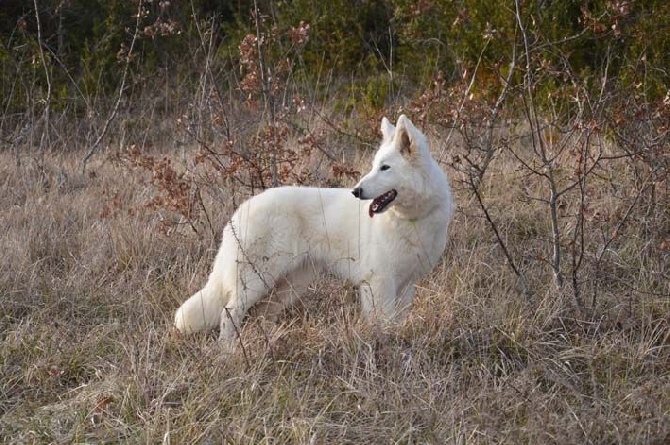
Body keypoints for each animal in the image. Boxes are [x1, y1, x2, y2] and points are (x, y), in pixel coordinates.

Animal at [175, 114, 456, 344]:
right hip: (256, 280)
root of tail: (240, 210)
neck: (410, 219)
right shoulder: (379, 282)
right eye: (375, 165)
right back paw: (228, 352)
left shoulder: (406, 285)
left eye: (385, 168)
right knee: (229, 313)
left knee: (260, 314)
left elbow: (396, 322)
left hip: (289, 285)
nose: (357, 191)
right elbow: (382, 323)